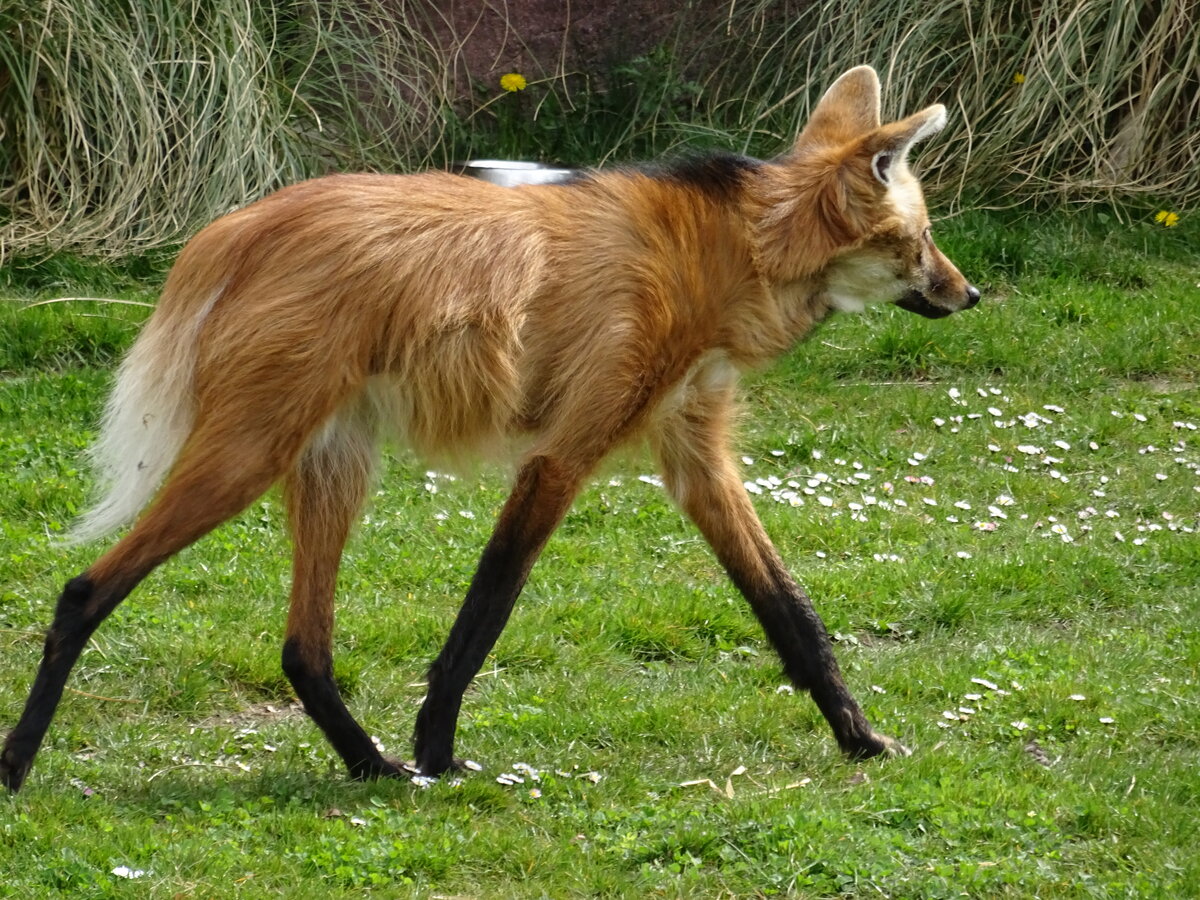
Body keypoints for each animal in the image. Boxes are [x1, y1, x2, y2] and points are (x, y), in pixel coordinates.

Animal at [0, 66, 979, 792]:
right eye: (925, 237)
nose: (970, 294)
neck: (734, 255)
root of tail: (233, 227)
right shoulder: (563, 452)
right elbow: (489, 606)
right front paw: (438, 750)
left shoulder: (693, 453)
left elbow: (788, 608)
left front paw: (862, 738)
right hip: (250, 450)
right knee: (86, 590)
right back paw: (16, 766)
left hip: (333, 458)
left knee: (303, 646)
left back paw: (370, 766)